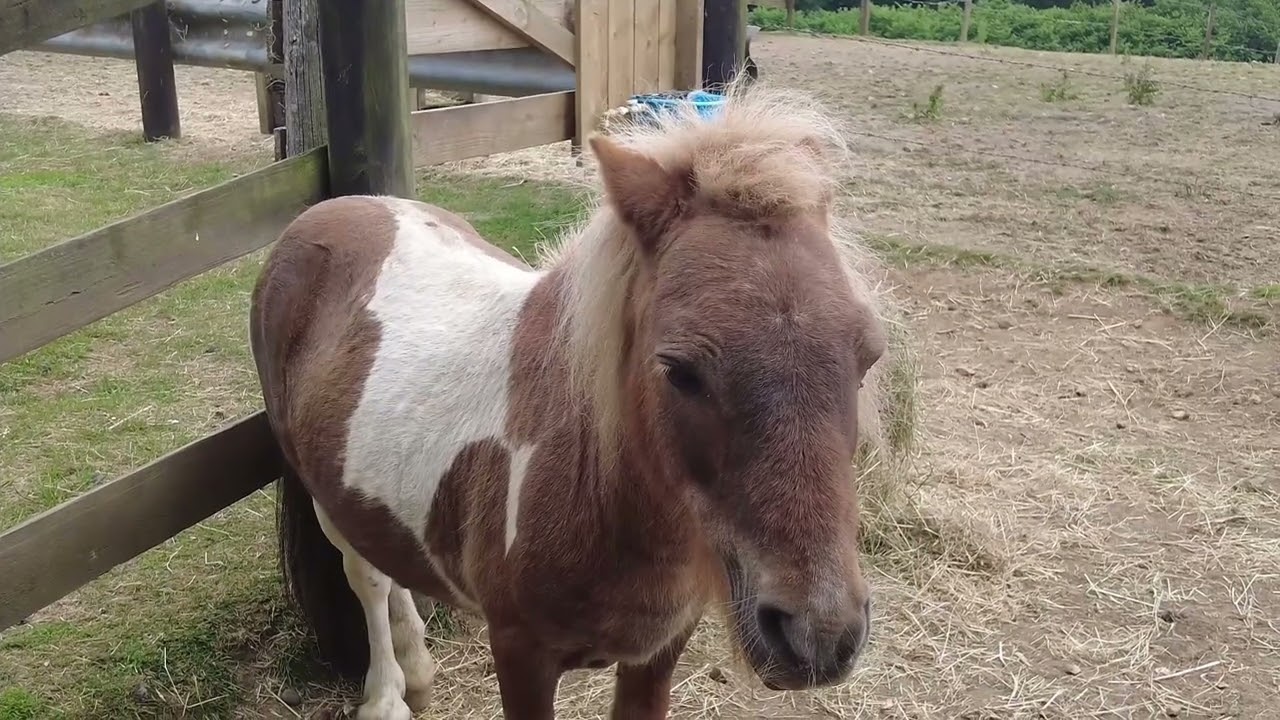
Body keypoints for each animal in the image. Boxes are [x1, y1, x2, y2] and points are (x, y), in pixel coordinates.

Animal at [248, 82, 895, 720]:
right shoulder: (520, 654)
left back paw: (418, 669)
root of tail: (334, 208)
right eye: (679, 371)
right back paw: (387, 695)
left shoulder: (660, 650)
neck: (600, 485)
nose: (819, 637)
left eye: (868, 357)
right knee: (367, 575)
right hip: (323, 493)